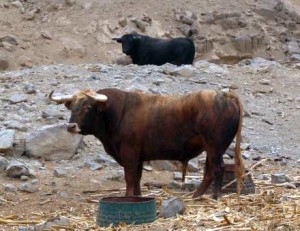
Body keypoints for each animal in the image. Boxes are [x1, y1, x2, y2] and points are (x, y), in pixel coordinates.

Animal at [49, 87, 245, 199]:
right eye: (72, 106)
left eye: (88, 107)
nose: (71, 126)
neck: (116, 113)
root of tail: (225, 95)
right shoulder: (138, 156)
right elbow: (137, 178)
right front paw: (137, 196)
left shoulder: (129, 154)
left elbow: (129, 177)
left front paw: (127, 196)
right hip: (213, 148)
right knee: (210, 170)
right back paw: (198, 195)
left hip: (214, 146)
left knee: (217, 169)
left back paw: (213, 196)